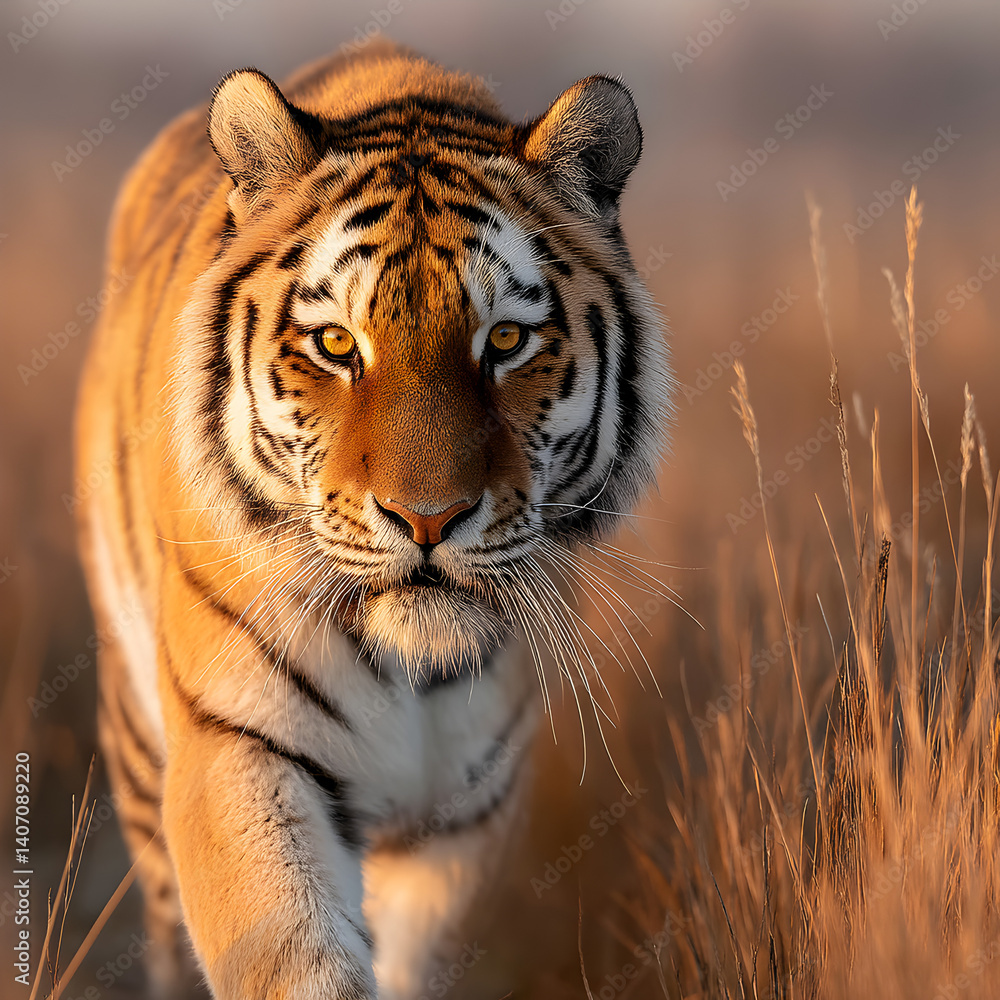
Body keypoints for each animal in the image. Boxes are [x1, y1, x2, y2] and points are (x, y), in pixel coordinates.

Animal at [74, 37, 671, 999]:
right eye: (336, 344)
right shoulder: (240, 751)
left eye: (506, 342)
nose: (428, 520)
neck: (411, 671)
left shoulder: (464, 821)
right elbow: (298, 958)